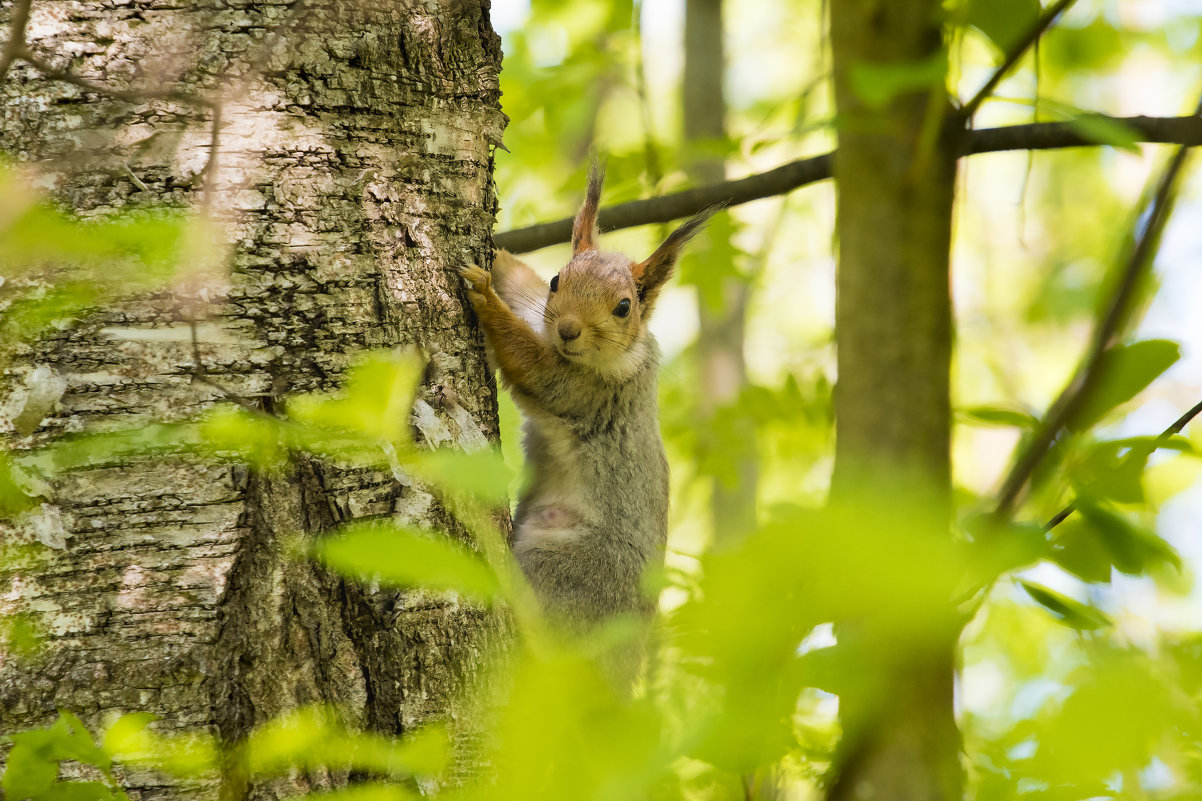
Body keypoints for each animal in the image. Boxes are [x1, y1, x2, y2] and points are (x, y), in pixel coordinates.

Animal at [454, 161, 706, 649]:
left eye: (624, 307)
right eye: (556, 281)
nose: (568, 330)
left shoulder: (590, 390)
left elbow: (534, 370)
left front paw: (485, 297)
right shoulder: (537, 312)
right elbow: (521, 281)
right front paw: (497, 257)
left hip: (563, 566)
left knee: (527, 616)